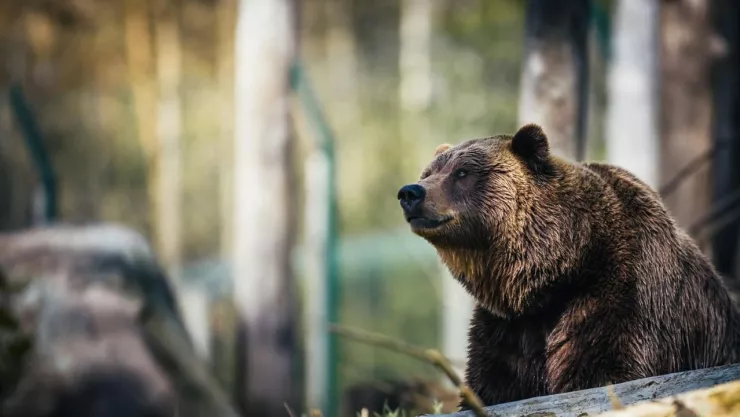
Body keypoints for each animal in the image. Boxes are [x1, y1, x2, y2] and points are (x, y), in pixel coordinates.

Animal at [397, 124, 740, 409]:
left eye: (463, 172)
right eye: (429, 171)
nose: (411, 192)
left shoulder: (622, 294)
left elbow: (604, 370)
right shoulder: (508, 329)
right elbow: (492, 384)